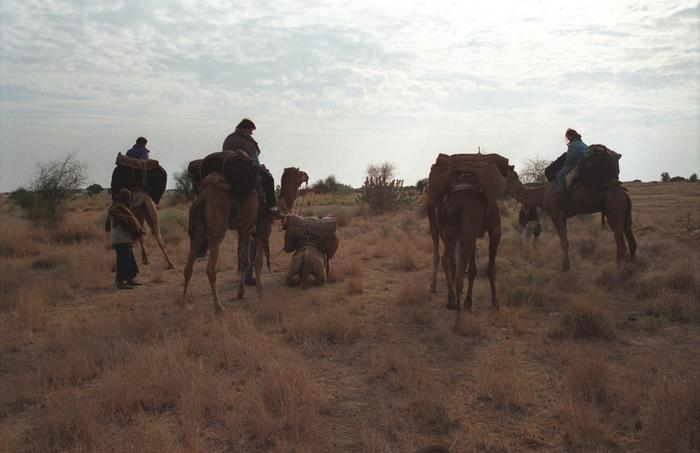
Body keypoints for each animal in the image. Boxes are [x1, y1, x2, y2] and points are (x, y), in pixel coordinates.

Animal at [182, 162, 308, 314]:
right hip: (217, 229)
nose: (307, 175)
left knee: (188, 267)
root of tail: (203, 198)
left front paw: (240, 293)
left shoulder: (246, 231)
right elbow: (258, 262)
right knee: (210, 268)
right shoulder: (263, 230)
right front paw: (261, 294)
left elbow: (245, 261)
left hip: (196, 231)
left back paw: (183, 304)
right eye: (299, 172)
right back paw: (219, 308)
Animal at [434, 173, 500, 310]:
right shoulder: (495, 228)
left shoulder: (474, 234)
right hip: (466, 230)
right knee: (458, 260)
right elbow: (491, 269)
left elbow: (472, 269)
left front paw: (468, 300)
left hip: (449, 232)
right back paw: (457, 299)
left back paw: (451, 300)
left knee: (447, 259)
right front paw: (494, 301)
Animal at [504, 169, 636, 268]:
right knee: (630, 238)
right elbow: (566, 241)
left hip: (614, 209)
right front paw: (566, 266)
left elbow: (564, 242)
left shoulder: (555, 213)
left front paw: (565, 268)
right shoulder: (563, 215)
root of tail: (625, 194)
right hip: (624, 213)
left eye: (506, 176)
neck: (543, 193)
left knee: (620, 239)